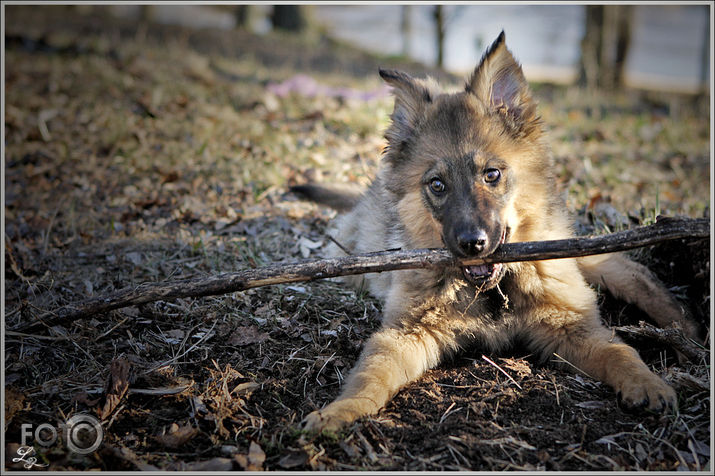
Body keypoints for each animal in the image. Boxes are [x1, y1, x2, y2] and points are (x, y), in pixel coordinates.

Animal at [292, 31, 700, 434]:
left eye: (492, 174)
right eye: (437, 185)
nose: (473, 245)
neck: (494, 289)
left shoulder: (572, 324)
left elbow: (620, 351)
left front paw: (646, 383)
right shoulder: (406, 332)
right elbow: (371, 373)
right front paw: (342, 410)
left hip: (585, 257)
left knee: (639, 276)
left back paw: (685, 331)